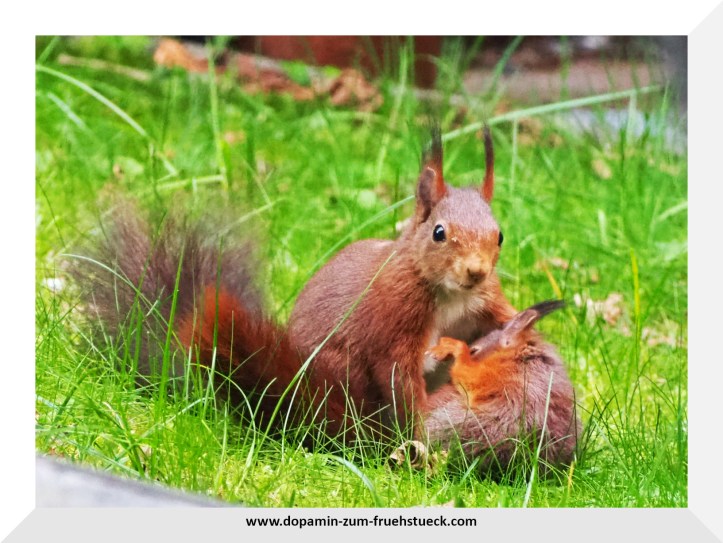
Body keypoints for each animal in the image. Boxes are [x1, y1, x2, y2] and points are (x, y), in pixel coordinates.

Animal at [72, 126, 517, 447]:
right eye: (439, 233)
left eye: (499, 236)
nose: (476, 271)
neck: (450, 294)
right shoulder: (395, 318)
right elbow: (399, 375)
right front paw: (419, 431)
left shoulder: (483, 301)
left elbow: (500, 318)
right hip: (343, 372)